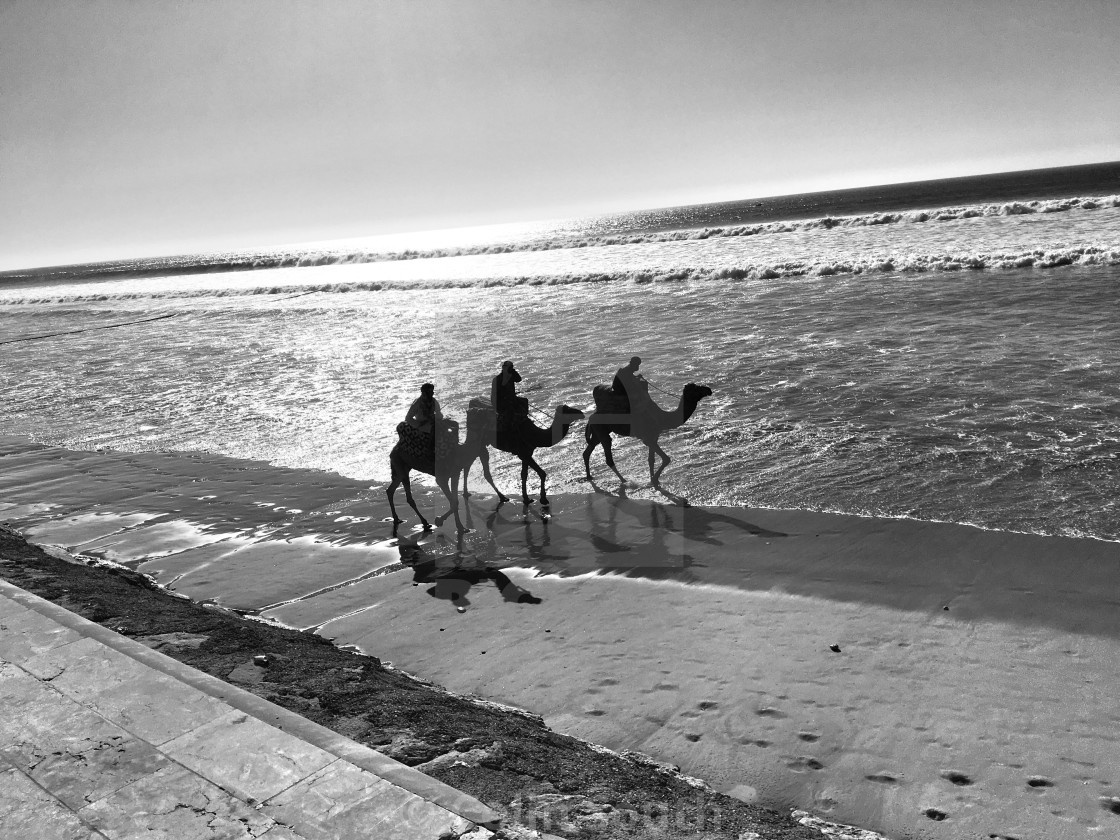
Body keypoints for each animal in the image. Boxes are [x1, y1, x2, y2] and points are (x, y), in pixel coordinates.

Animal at [582, 380, 712, 486]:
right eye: (696, 388)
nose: (709, 390)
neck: (662, 418)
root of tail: (591, 417)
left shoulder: (654, 436)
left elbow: (651, 460)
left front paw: (653, 480)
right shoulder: (648, 438)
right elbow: (666, 459)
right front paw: (654, 479)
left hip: (598, 431)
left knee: (587, 451)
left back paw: (589, 477)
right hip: (601, 430)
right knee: (607, 453)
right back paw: (624, 480)